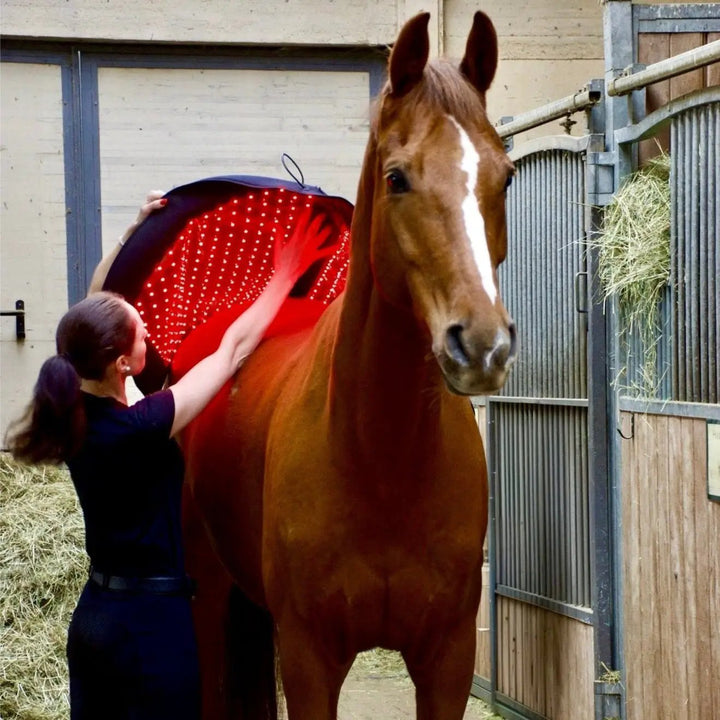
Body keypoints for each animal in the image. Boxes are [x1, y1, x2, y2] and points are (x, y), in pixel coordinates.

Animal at [165, 10, 516, 719]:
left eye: (506, 176)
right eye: (397, 178)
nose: (482, 347)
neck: (380, 460)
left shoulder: (448, 660)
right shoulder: (310, 657)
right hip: (208, 594)